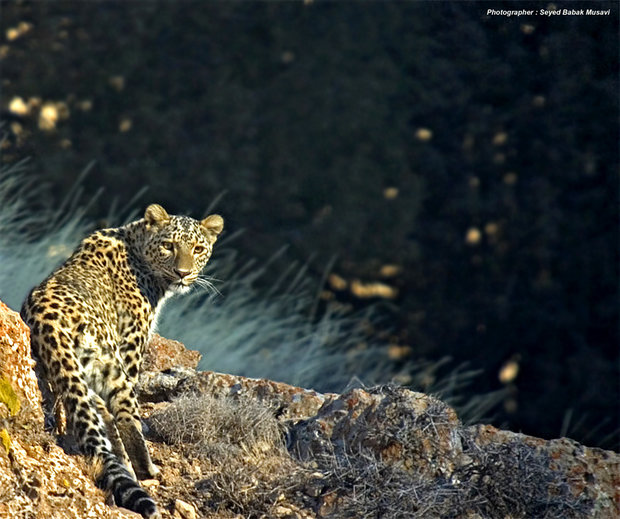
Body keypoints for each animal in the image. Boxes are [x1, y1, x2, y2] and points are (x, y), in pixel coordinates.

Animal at [21, 205, 225, 516]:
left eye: (198, 248)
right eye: (169, 246)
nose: (183, 273)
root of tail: (48, 320)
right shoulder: (132, 344)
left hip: (84, 371)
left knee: (99, 415)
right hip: (112, 364)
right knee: (124, 415)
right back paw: (144, 468)